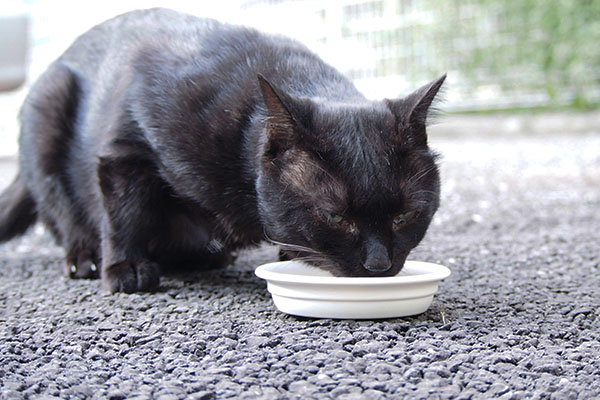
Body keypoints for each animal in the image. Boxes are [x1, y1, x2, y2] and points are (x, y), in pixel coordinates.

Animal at [0, 7, 442, 292]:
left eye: (406, 215)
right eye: (334, 216)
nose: (378, 264)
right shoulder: (126, 149)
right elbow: (124, 213)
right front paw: (125, 267)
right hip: (49, 103)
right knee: (64, 212)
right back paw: (87, 258)